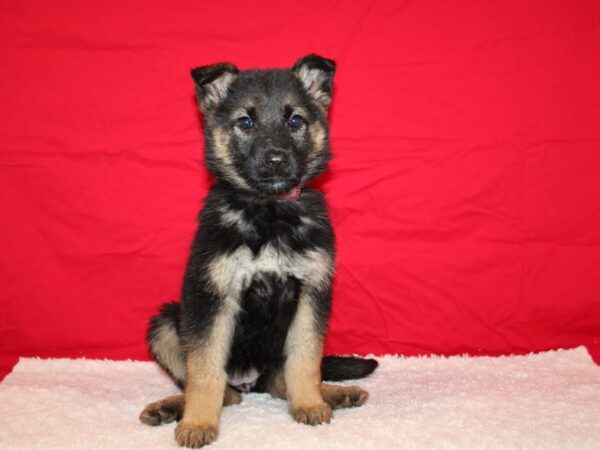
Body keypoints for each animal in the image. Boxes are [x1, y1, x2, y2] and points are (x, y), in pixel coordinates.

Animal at [138, 55, 378, 446]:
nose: (277, 159)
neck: (268, 210)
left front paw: (310, 404)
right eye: (245, 122)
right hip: (166, 323)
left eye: (295, 120)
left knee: (282, 382)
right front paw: (198, 424)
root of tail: (251, 381)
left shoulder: (311, 295)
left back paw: (332, 393)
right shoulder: (211, 298)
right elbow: (204, 371)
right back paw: (171, 408)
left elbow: (305, 360)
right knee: (220, 391)